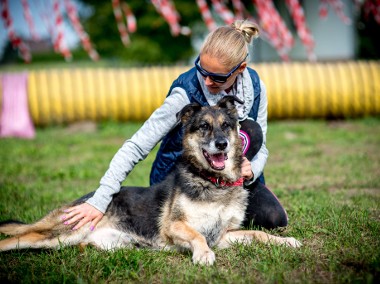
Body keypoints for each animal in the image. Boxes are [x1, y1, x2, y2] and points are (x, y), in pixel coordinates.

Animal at [0, 96, 302, 266]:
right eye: (204, 126)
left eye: (226, 126)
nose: (222, 144)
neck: (214, 182)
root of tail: (88, 200)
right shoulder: (176, 226)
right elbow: (196, 236)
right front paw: (202, 255)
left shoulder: (224, 235)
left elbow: (258, 234)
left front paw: (286, 242)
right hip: (59, 234)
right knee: (17, 238)